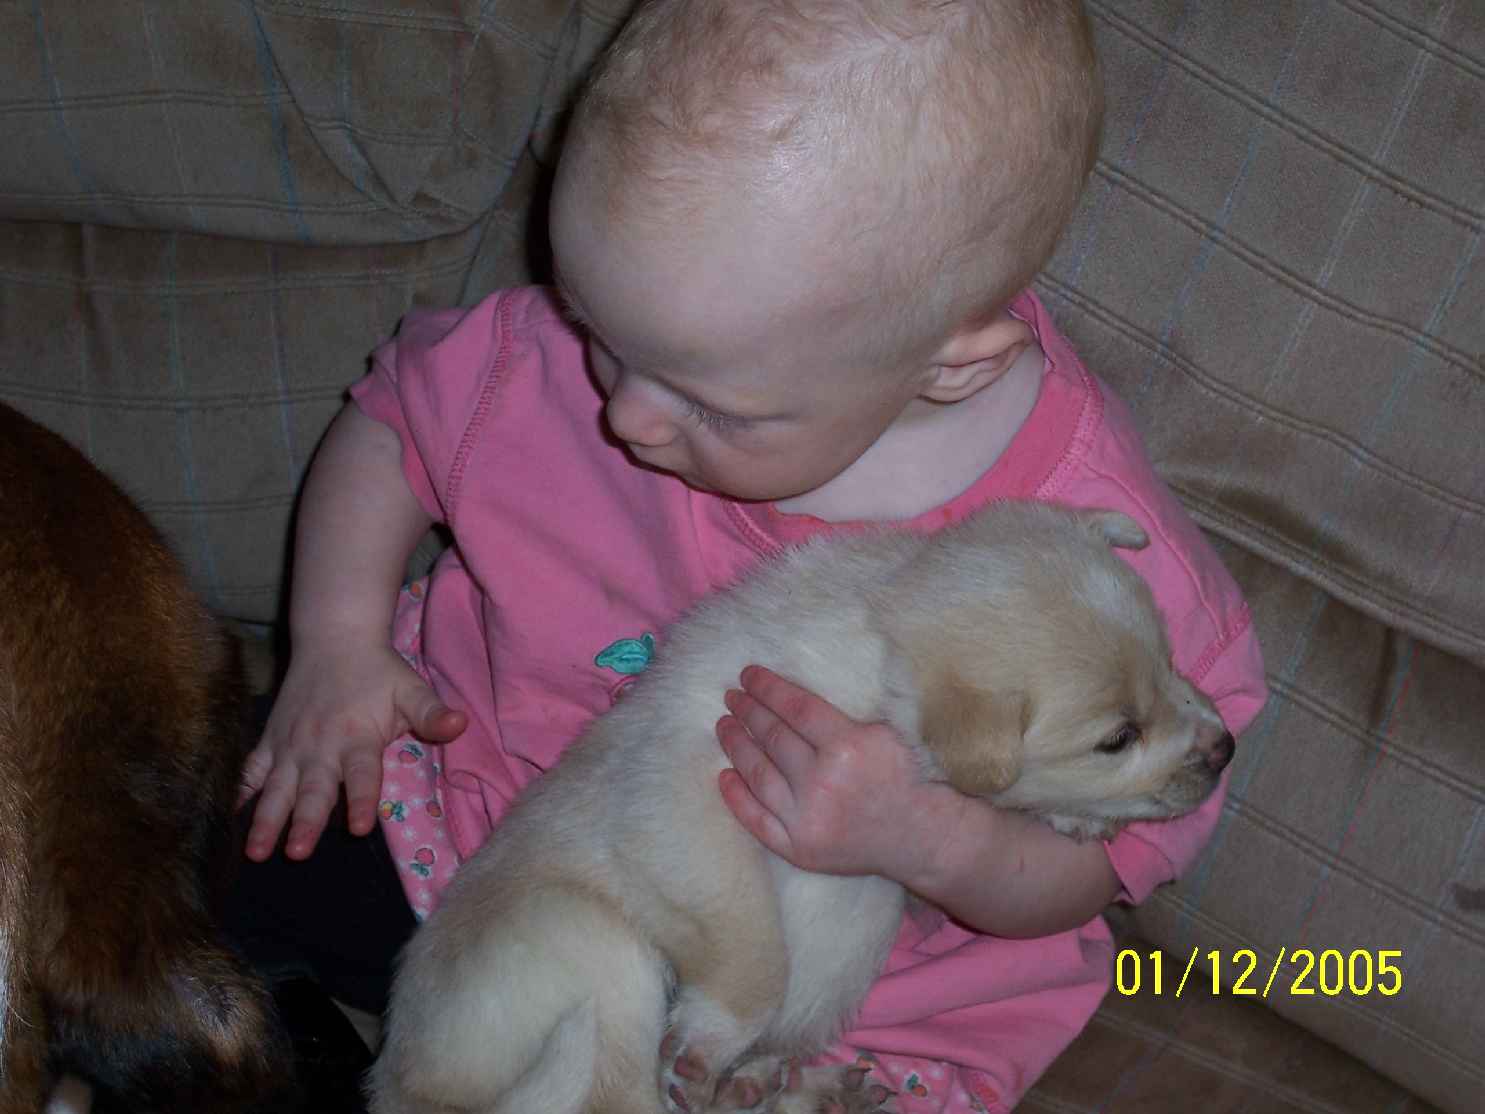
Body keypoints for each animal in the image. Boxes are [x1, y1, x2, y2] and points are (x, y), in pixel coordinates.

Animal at [369, 502, 1234, 1114]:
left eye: (1170, 662)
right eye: (1116, 737)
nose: (1226, 750)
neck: (876, 651)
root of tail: (401, 1092)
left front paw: (1078, 820)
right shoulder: (689, 803)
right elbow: (754, 956)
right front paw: (708, 1038)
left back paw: (788, 1089)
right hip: (593, 948)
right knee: (624, 1095)